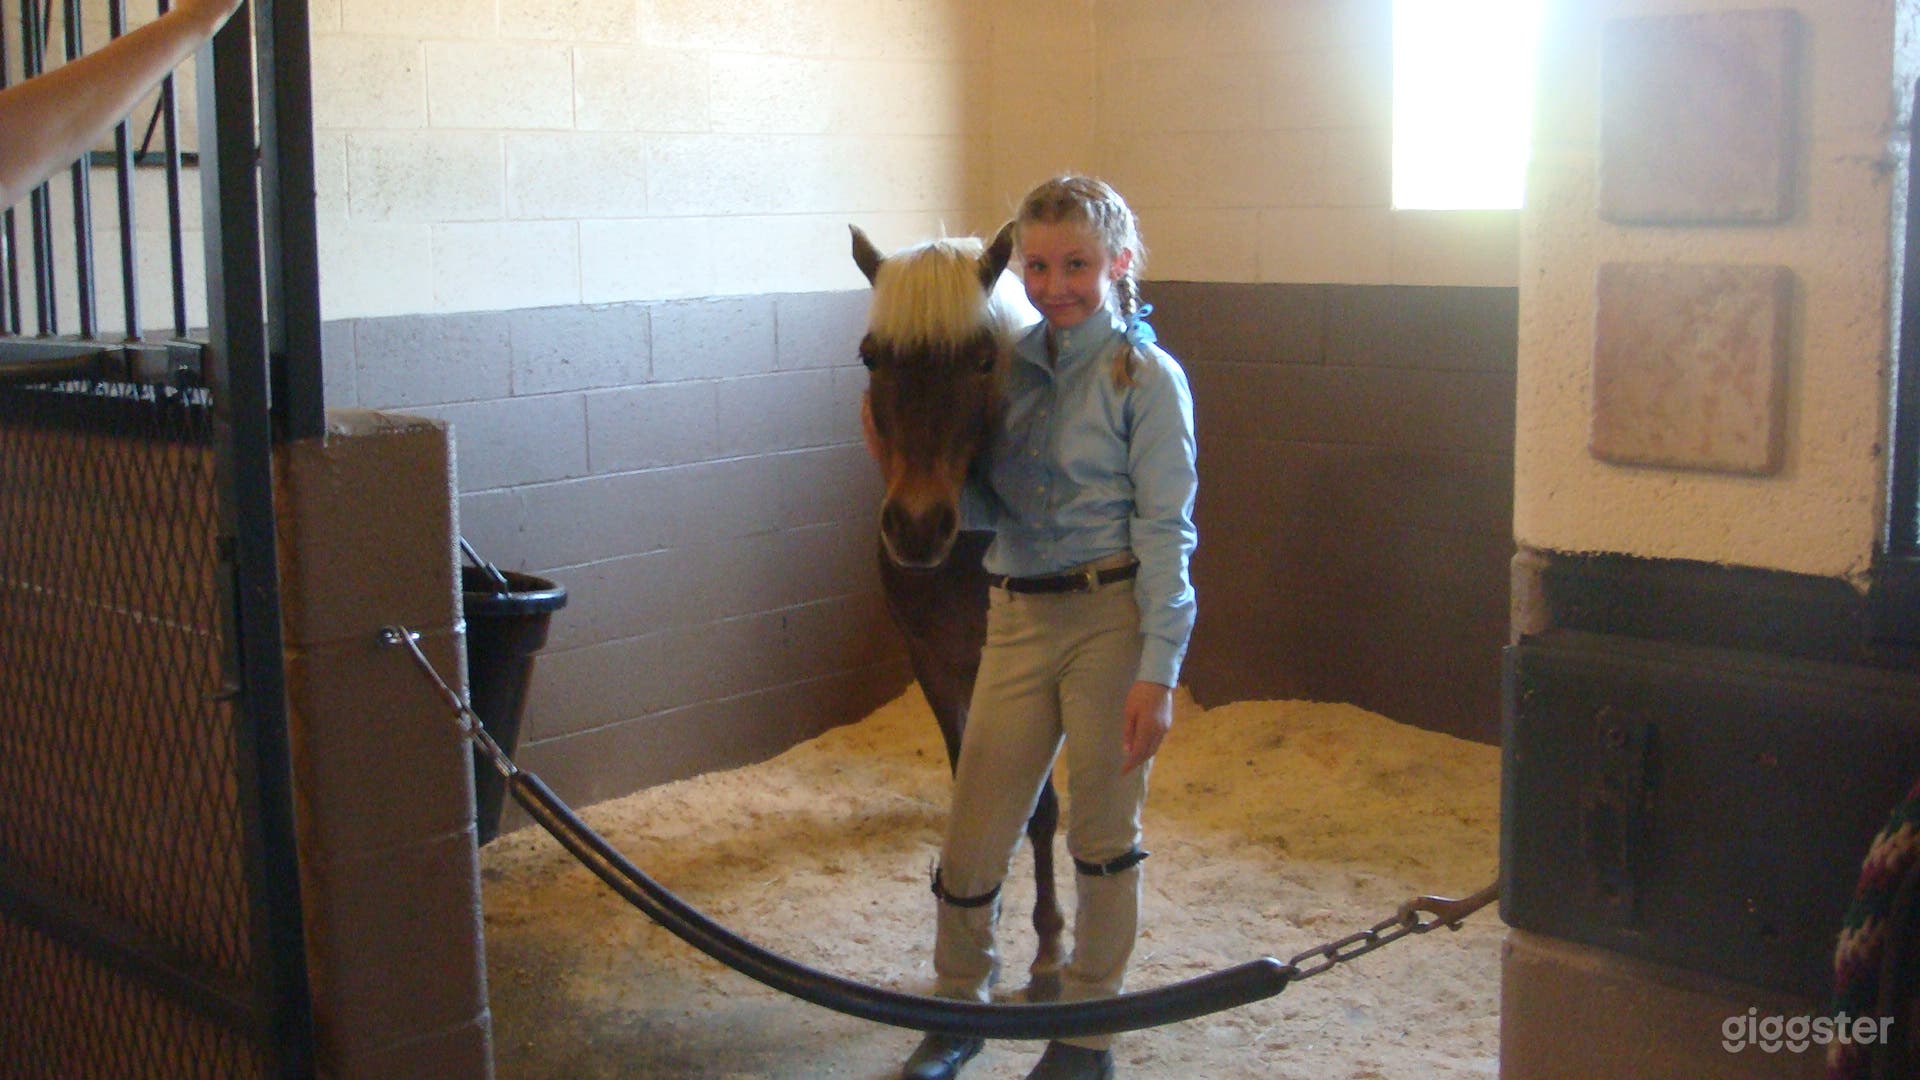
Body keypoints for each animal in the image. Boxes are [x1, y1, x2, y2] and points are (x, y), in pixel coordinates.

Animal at [849, 222, 1066, 1000]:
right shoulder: (936, 663)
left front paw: (1047, 948)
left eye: (982, 359)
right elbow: (970, 783)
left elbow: (1039, 809)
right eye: (872, 355)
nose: (917, 528)